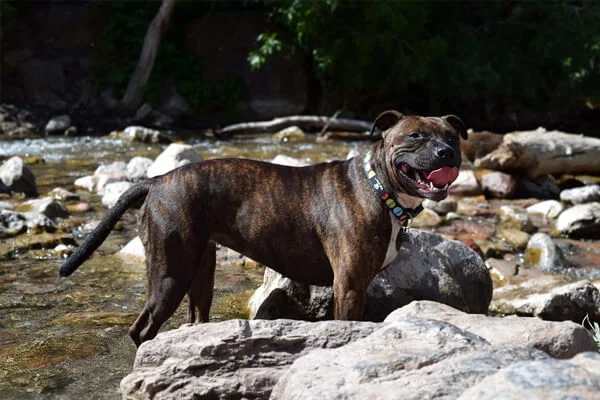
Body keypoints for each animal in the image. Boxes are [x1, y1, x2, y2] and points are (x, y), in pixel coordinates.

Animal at [59, 111, 464, 346]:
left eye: (452, 136)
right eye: (415, 136)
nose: (447, 153)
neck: (379, 187)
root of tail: (157, 180)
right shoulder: (348, 286)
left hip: (199, 270)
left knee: (195, 315)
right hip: (169, 274)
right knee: (140, 329)